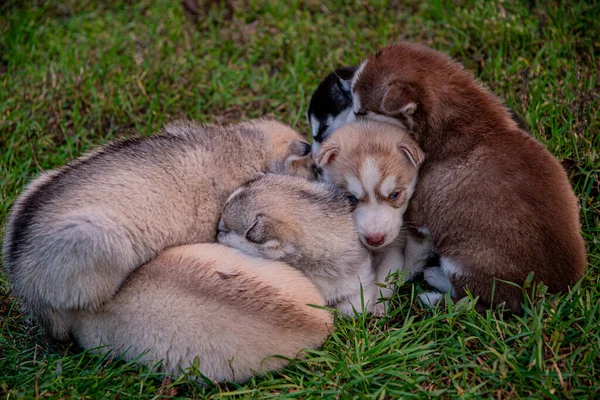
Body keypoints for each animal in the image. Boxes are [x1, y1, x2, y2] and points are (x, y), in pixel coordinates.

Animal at [314, 119, 422, 312]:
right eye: (351, 198)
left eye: (394, 195)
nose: (375, 239)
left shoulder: (395, 245)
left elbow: (387, 274)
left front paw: (379, 304)